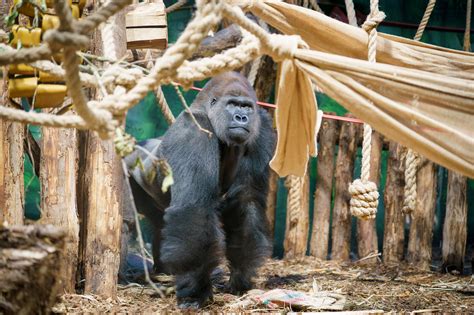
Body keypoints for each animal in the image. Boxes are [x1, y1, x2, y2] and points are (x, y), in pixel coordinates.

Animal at [124, 71, 276, 308]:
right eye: (232, 105)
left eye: (247, 107)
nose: (241, 118)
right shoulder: (194, 129)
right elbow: (194, 206)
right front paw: (196, 290)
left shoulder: (262, 127)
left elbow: (246, 199)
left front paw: (240, 275)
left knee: (160, 223)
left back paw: (163, 271)